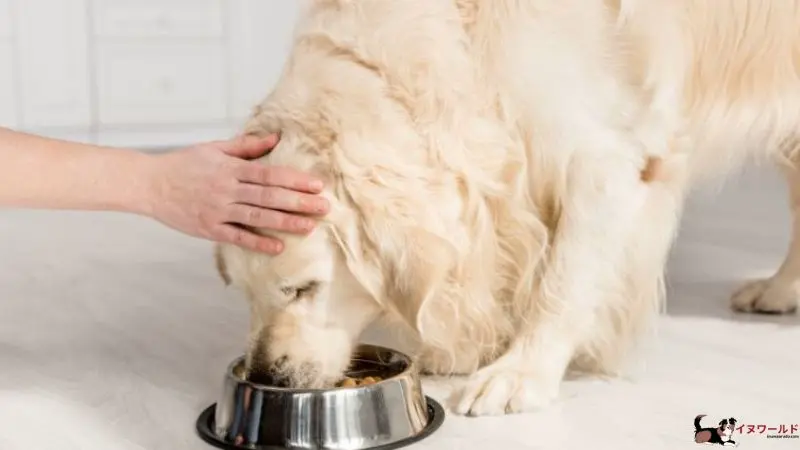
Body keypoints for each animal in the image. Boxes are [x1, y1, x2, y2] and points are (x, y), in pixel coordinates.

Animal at [216, 0, 800, 416]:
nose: (266, 376)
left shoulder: (605, 158)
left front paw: (520, 373)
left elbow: (562, 283)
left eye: (303, 289)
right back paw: (778, 291)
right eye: (244, 293)